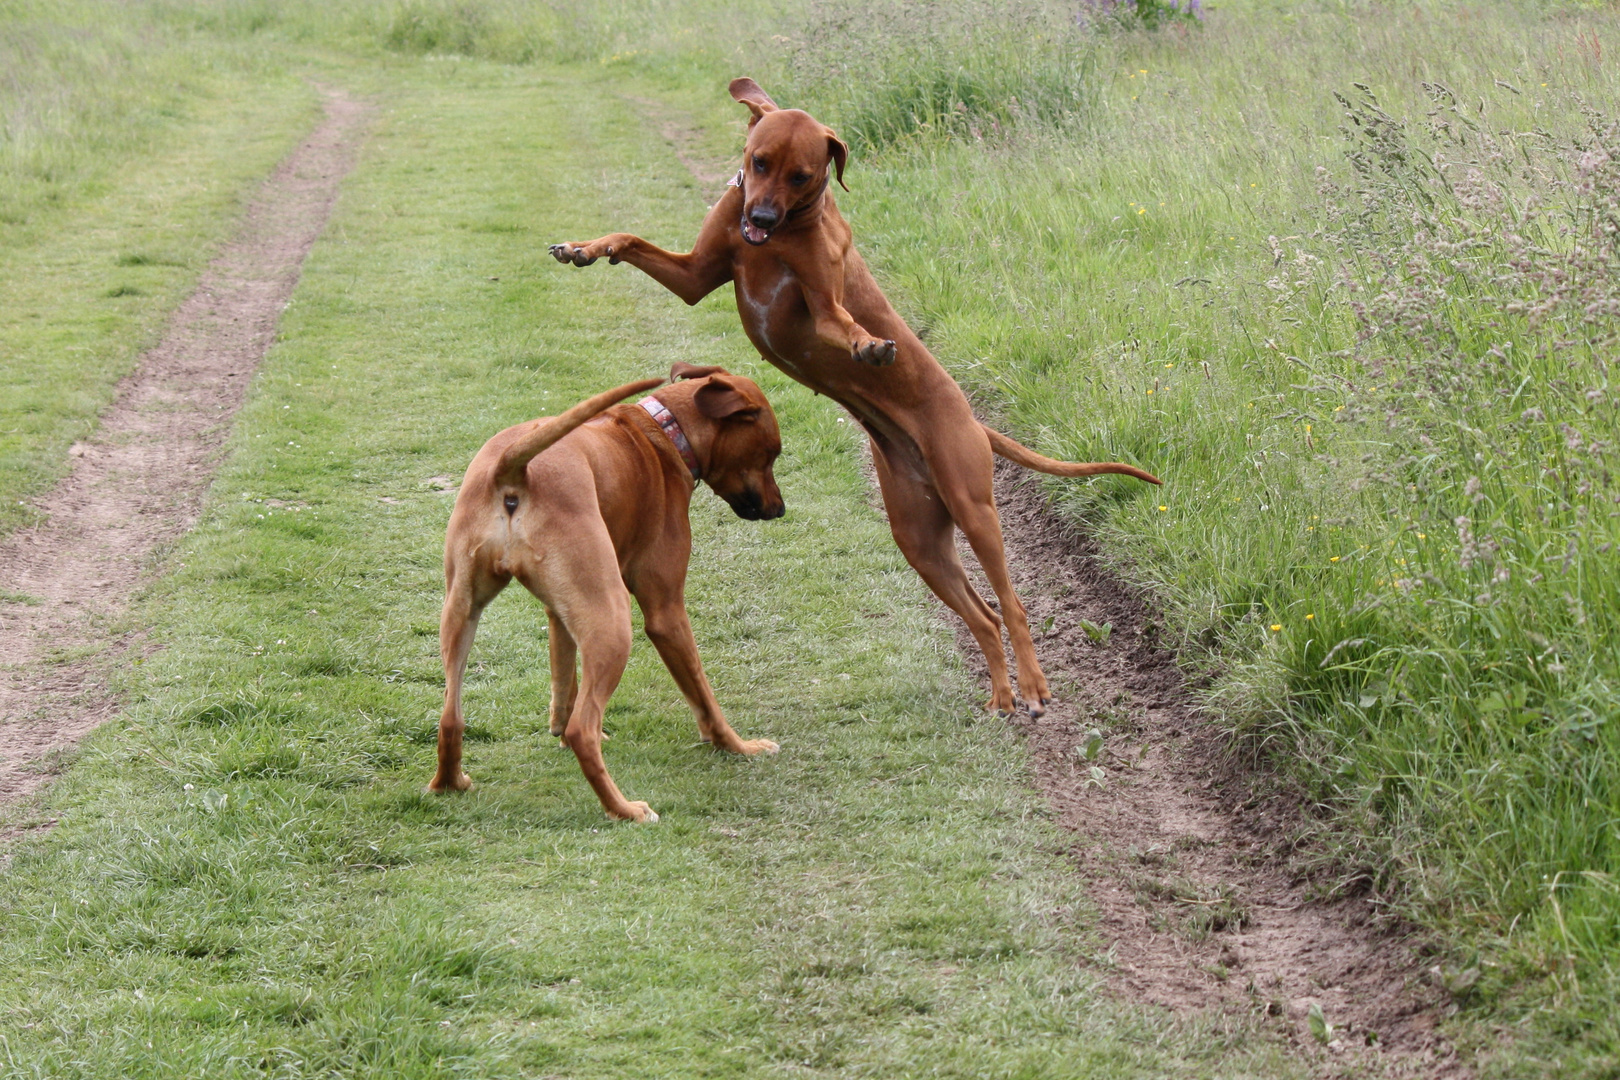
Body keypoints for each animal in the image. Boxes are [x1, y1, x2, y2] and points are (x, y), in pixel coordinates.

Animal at [430, 367, 784, 822]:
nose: (780, 509)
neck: (665, 432)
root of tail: (514, 470)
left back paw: (448, 783)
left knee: (450, 717)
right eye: (771, 454)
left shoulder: (558, 613)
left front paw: (559, 731)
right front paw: (739, 747)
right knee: (584, 728)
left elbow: (564, 681)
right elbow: (704, 697)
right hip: (613, 622)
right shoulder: (666, 611)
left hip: (461, 611)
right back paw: (625, 809)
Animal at [550, 76, 1159, 718]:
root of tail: (974, 420)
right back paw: (1002, 695)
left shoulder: (821, 302)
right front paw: (586, 247)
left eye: (802, 176)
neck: (781, 234)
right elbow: (633, 239)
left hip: (973, 507)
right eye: (758, 162)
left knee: (1011, 604)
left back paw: (1036, 688)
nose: (759, 215)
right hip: (919, 538)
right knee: (983, 614)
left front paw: (869, 345)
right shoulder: (696, 274)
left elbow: (841, 321)